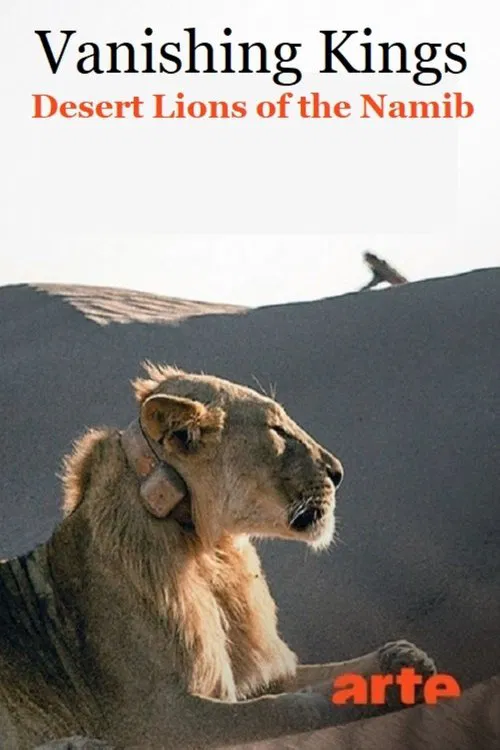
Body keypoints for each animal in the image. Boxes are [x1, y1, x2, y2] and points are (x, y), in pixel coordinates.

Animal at [0, 364, 435, 750]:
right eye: (277, 430)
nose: (339, 472)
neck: (210, 552)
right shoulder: (158, 719)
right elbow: (279, 710)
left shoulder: (260, 667)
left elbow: (319, 675)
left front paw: (403, 661)